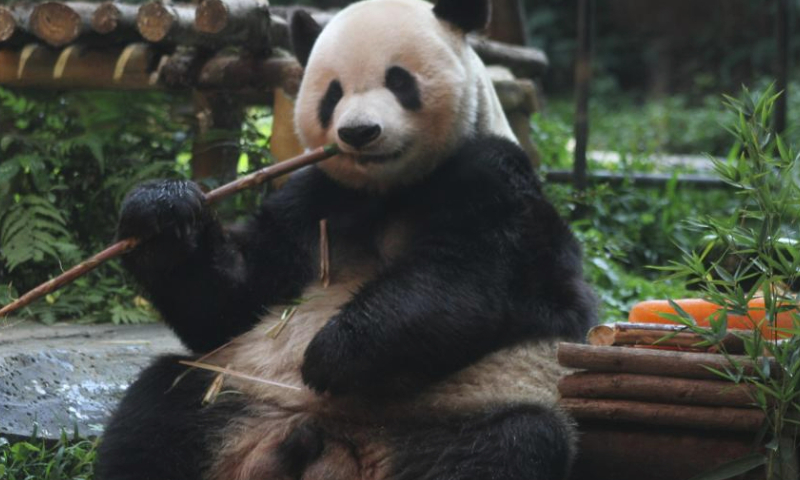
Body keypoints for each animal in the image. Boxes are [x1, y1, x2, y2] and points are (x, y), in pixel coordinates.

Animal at [95, 0, 592, 480]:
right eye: (332, 94)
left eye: (398, 80)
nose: (359, 132)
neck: (388, 191)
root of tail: (324, 446)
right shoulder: (314, 198)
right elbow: (230, 302)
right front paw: (161, 211)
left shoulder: (496, 177)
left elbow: (463, 279)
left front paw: (331, 355)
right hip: (232, 395)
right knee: (157, 412)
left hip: (465, 413)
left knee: (508, 444)